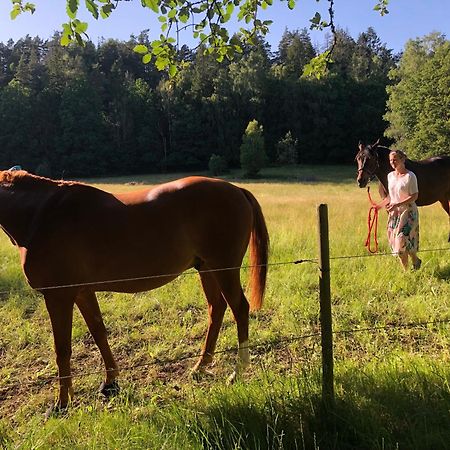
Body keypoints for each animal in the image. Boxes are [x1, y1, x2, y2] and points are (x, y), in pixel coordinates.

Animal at [0, 171, 268, 414]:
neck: (41, 214)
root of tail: (236, 190)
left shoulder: (59, 296)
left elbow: (62, 349)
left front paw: (61, 404)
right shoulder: (83, 292)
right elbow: (99, 332)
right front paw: (110, 383)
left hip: (224, 268)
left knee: (239, 308)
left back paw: (237, 372)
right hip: (206, 268)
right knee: (217, 309)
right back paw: (200, 367)